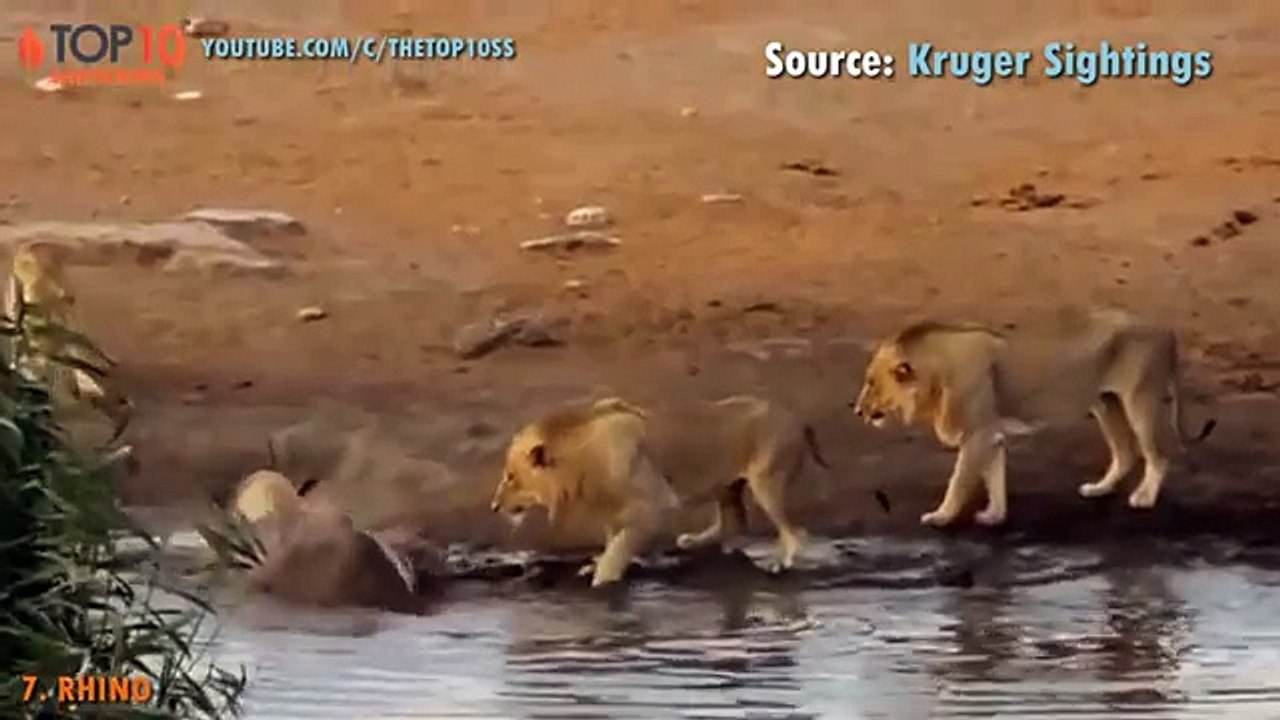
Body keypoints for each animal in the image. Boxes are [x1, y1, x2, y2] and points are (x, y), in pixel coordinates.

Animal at [490, 395, 830, 587]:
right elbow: (613, 541)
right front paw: (596, 564)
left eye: (511, 477)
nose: (494, 507)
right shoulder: (614, 511)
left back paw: (780, 565)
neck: (580, 461)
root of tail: (799, 419)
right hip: (727, 485)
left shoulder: (655, 505)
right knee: (735, 521)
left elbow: (620, 546)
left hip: (767, 481)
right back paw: (695, 540)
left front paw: (603, 578)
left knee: (792, 532)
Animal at [852, 307, 1216, 528]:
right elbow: (994, 478)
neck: (936, 375)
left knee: (1158, 454)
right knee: (1125, 453)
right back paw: (1099, 489)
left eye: (871, 383)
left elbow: (959, 481)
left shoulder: (977, 434)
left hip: (1141, 400)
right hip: (1105, 403)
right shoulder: (991, 435)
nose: (857, 410)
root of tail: (1166, 330)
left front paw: (941, 516)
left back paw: (1144, 498)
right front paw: (994, 515)